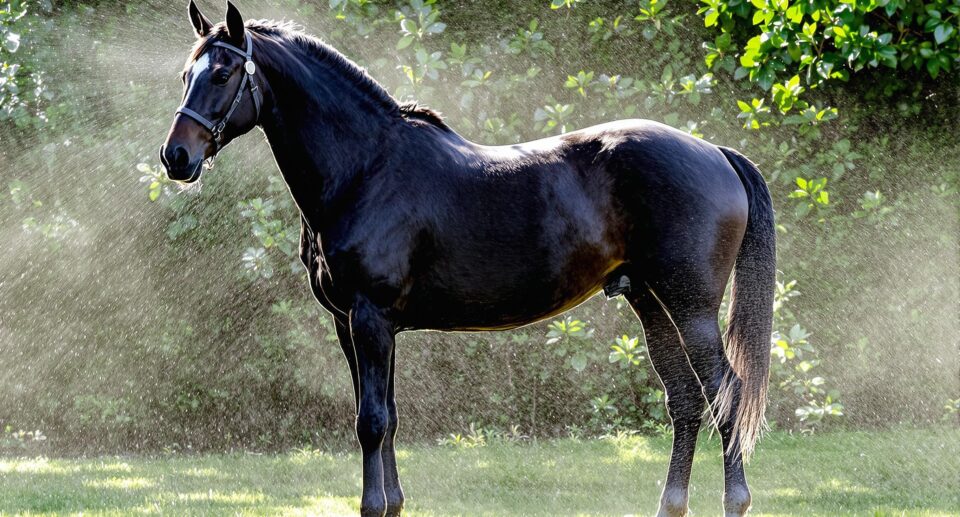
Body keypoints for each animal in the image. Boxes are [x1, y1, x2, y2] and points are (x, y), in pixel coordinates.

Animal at [158, 2, 772, 512]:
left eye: (222, 74)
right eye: (186, 74)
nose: (175, 157)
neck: (365, 168)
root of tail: (714, 152)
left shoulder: (370, 318)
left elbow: (371, 421)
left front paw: (373, 507)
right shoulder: (353, 324)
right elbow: (387, 416)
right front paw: (394, 504)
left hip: (691, 307)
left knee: (726, 394)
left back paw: (735, 501)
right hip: (651, 303)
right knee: (685, 400)